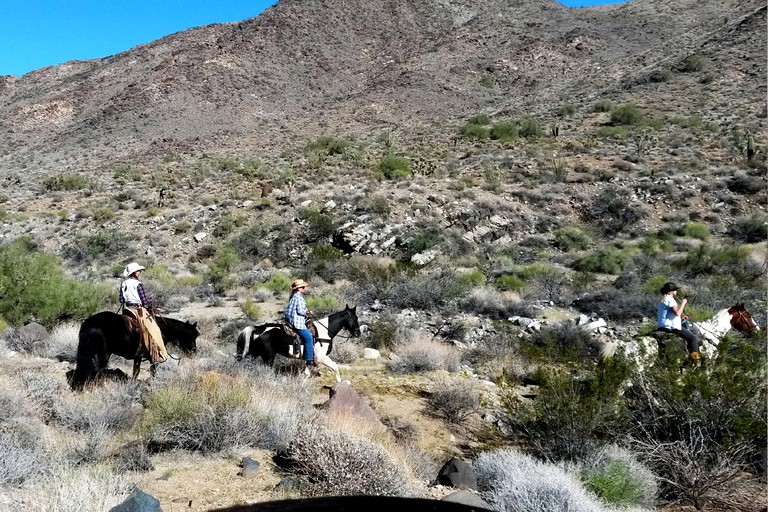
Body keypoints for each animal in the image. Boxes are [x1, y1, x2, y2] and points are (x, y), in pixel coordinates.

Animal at [67, 310, 198, 390]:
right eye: (192, 336)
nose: (194, 351)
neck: (161, 330)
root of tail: (87, 324)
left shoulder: (138, 357)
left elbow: (136, 371)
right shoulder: (153, 357)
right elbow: (152, 371)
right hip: (102, 355)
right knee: (96, 370)